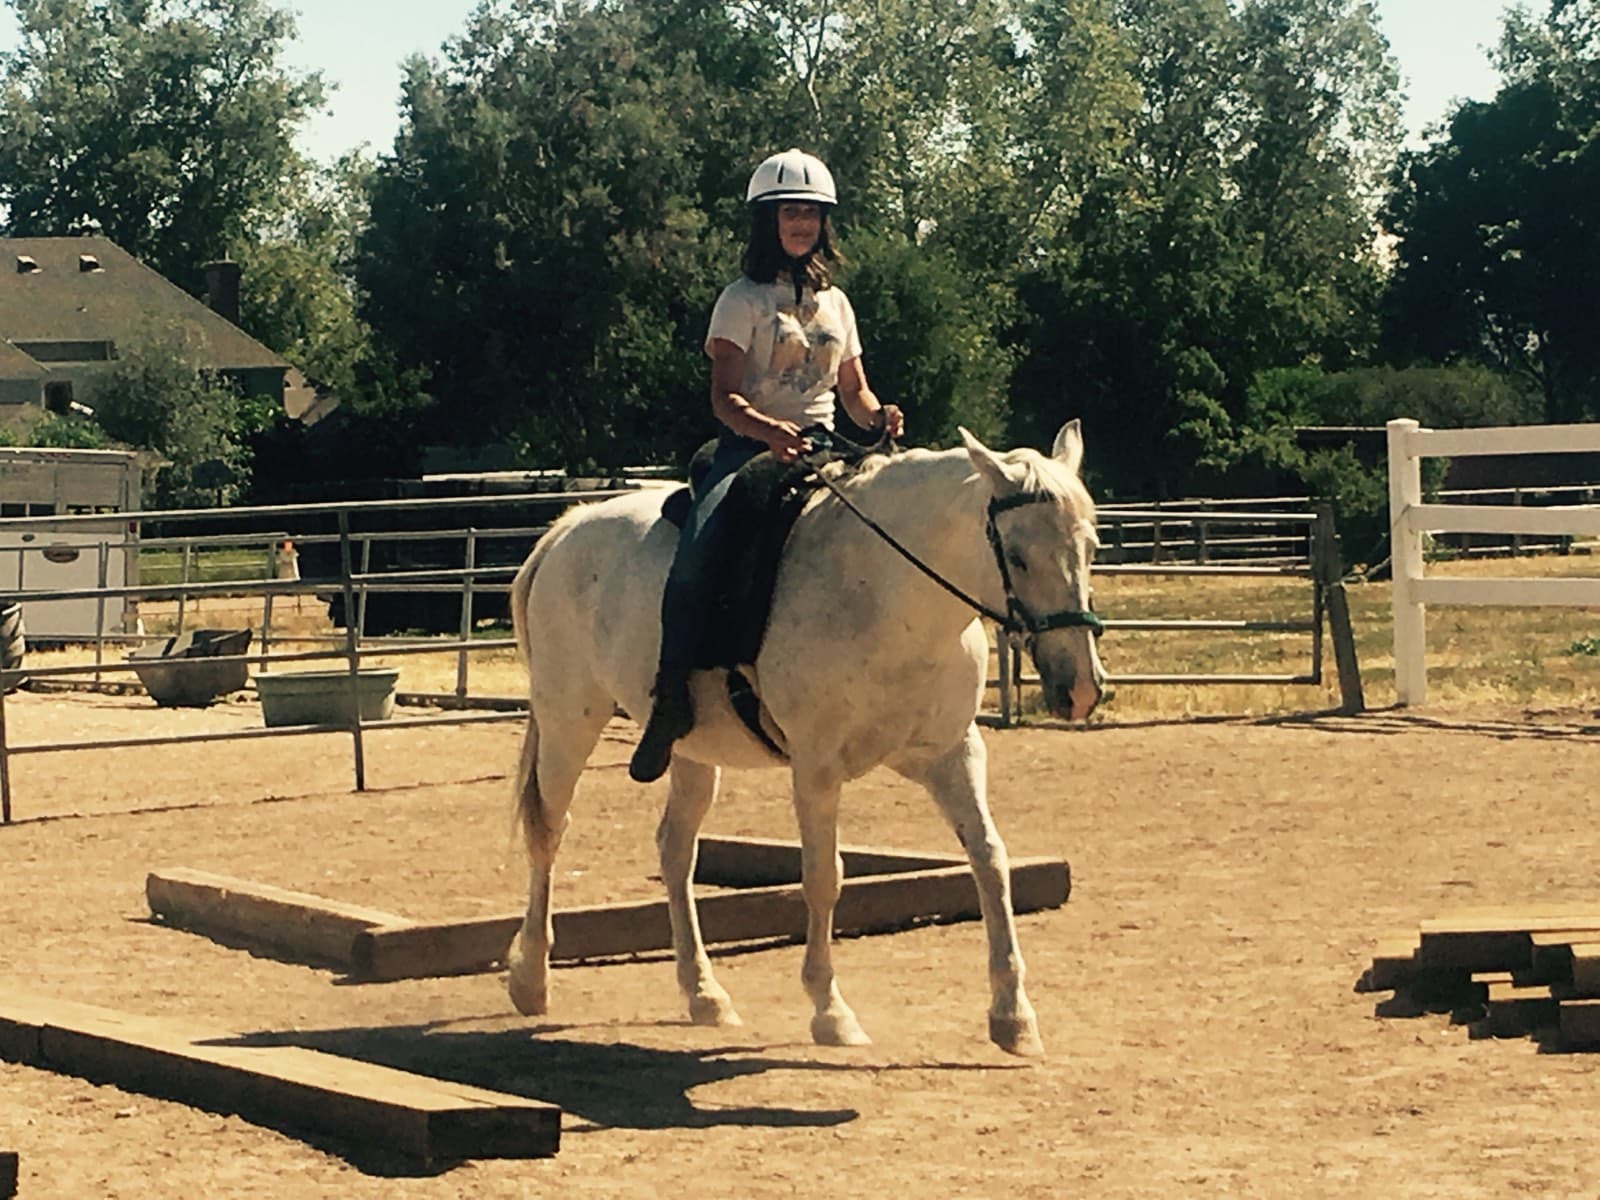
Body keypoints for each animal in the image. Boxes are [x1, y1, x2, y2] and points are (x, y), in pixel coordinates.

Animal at [505, 420, 1104, 1056]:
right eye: (1016, 556)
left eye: (1091, 548)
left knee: (675, 851)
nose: (1079, 689)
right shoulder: (816, 768)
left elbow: (990, 861)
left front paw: (1014, 1017)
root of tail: (569, 529)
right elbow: (822, 879)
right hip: (568, 720)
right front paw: (830, 1011)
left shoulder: (953, 753)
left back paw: (704, 994)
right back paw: (531, 980)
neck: (887, 594)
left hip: (691, 750)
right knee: (548, 833)